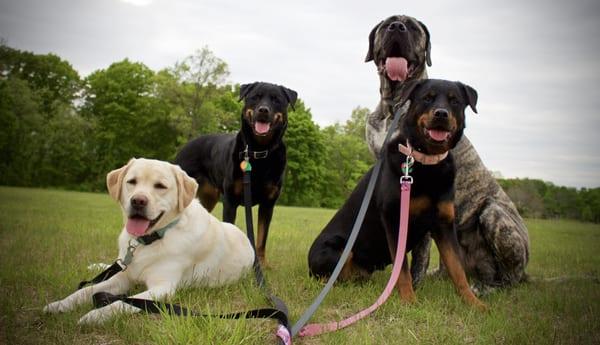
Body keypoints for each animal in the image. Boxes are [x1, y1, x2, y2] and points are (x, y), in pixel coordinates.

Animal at [366, 14, 528, 292]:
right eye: (387, 23)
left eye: (412, 27)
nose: (397, 27)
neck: (393, 105)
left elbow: (418, 250)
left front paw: (413, 284)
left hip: (494, 215)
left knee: (510, 278)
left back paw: (488, 288)